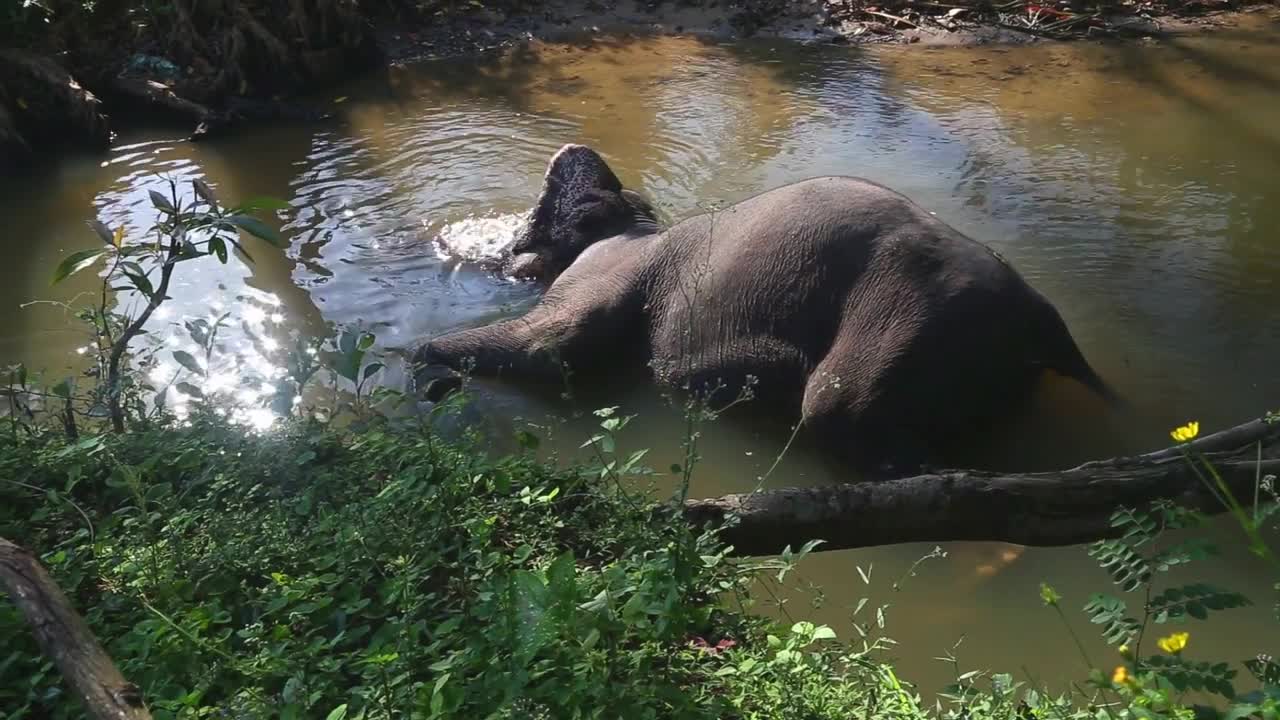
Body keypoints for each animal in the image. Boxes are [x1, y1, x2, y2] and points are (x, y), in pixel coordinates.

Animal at [412, 143, 1121, 474]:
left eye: (540, 219)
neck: (640, 227)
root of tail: (1045, 326)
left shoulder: (604, 271)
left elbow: (554, 349)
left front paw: (425, 368)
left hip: (913, 318)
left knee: (835, 409)